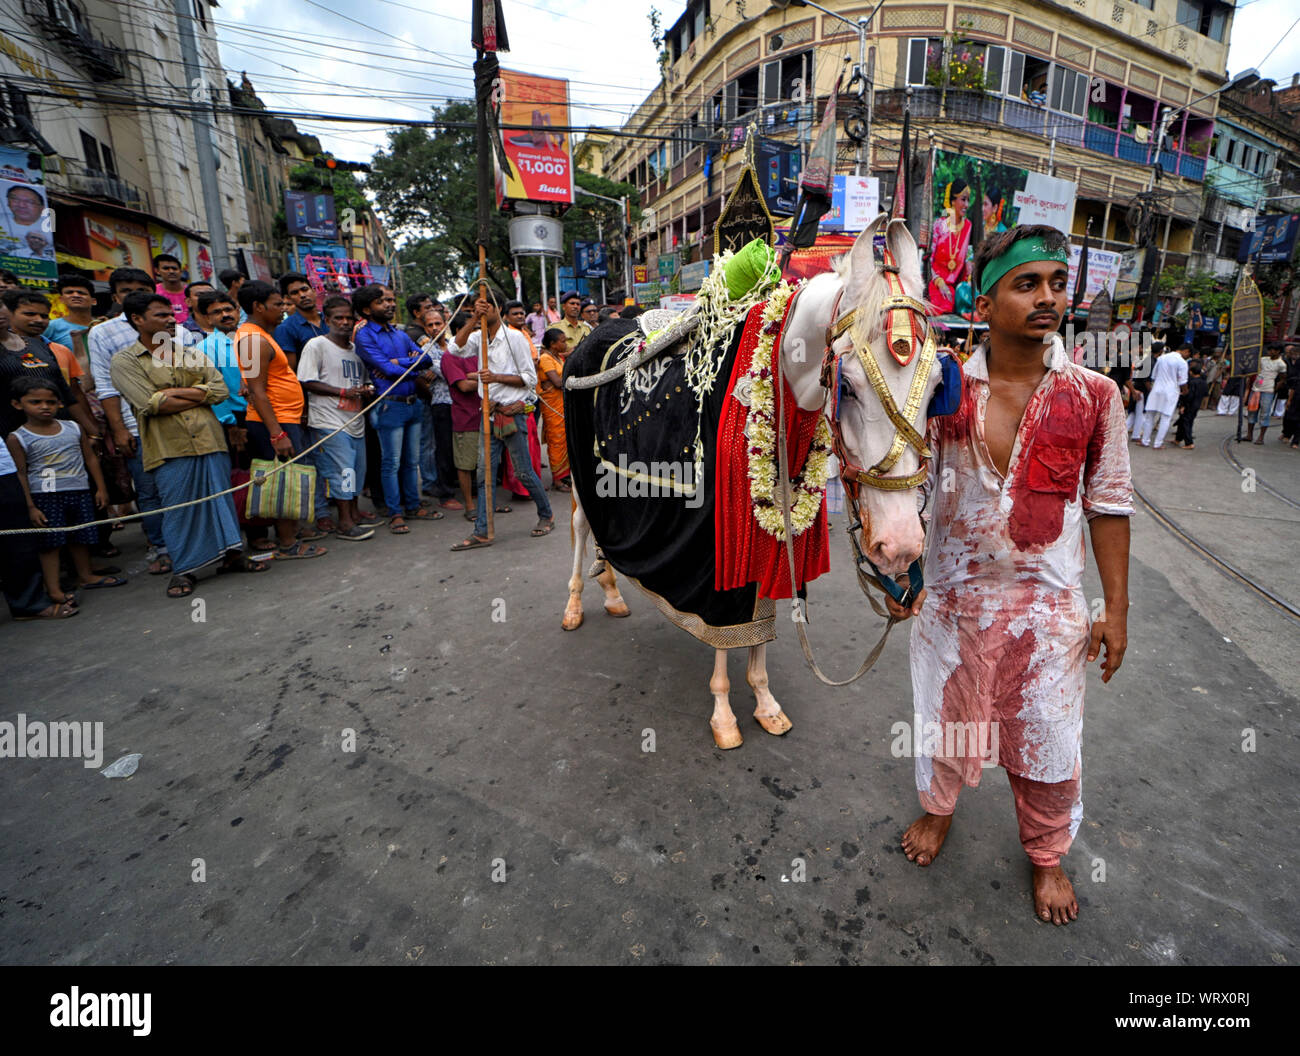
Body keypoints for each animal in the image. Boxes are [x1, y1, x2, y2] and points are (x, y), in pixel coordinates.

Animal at [553, 217, 961, 749]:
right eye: (847, 387)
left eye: (937, 388)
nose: (900, 545)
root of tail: (597, 329)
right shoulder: (714, 543)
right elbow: (726, 622)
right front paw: (724, 711)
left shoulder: (778, 528)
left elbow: (763, 611)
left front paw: (765, 701)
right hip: (584, 474)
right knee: (582, 527)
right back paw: (576, 603)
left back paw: (612, 590)